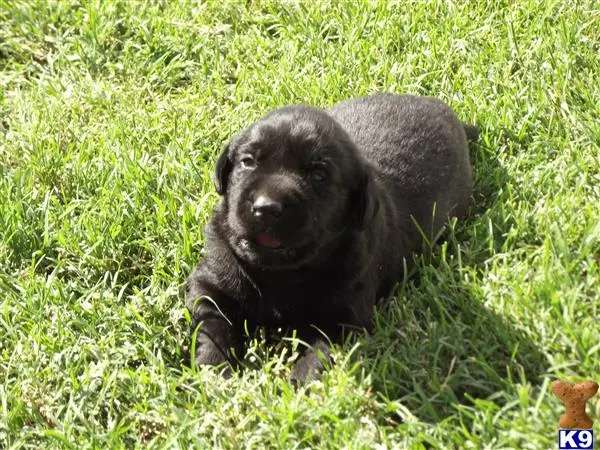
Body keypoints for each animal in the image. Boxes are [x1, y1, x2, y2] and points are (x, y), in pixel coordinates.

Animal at [188, 93, 478, 384]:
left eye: (319, 175)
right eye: (247, 161)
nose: (266, 207)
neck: (279, 273)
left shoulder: (343, 315)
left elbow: (320, 351)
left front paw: (300, 383)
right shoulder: (212, 283)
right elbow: (214, 326)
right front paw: (212, 370)